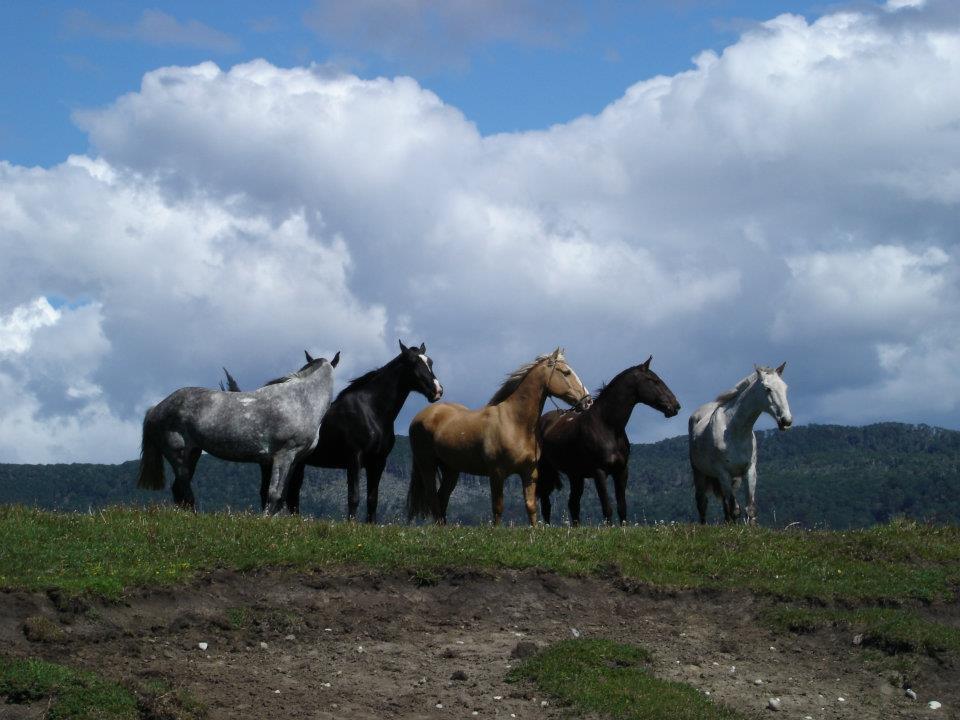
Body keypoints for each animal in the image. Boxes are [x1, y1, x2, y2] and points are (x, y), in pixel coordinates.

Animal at [136, 352, 338, 516]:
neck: (300, 400)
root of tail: (156, 408)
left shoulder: (295, 460)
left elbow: (281, 496)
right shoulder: (283, 455)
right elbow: (273, 493)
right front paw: (264, 519)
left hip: (192, 454)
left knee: (179, 489)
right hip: (178, 455)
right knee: (184, 487)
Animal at [221, 344, 442, 524]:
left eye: (430, 361)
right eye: (413, 362)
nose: (437, 390)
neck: (371, 411)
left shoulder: (378, 462)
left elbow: (372, 499)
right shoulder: (354, 458)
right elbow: (354, 497)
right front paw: (351, 525)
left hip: (297, 464)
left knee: (292, 495)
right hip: (271, 463)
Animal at [404, 350, 584, 528]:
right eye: (566, 373)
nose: (587, 400)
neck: (514, 422)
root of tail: (420, 417)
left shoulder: (529, 472)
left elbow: (531, 506)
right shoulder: (497, 473)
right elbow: (498, 508)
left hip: (451, 469)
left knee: (442, 498)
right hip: (427, 465)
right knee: (433, 497)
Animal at [536, 358, 680, 524]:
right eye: (654, 381)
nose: (675, 406)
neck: (607, 426)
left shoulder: (621, 472)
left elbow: (622, 508)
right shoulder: (600, 473)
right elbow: (607, 508)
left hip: (575, 476)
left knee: (573, 504)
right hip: (546, 471)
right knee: (546, 504)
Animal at [688, 366, 796, 524]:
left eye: (785, 388)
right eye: (767, 388)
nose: (786, 421)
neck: (734, 430)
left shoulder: (749, 471)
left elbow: (750, 508)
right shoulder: (723, 473)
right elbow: (735, 509)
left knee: (724, 504)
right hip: (700, 473)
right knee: (702, 502)